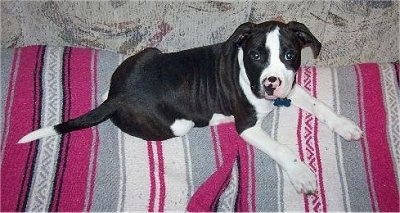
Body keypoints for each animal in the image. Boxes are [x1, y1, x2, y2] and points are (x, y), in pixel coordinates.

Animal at [18, 21, 362, 195]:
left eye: (290, 55)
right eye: (255, 55)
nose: (270, 83)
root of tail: (118, 96)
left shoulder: (289, 87)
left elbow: (318, 103)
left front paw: (344, 125)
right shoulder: (247, 126)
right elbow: (281, 148)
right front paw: (301, 174)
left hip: (150, 52)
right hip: (179, 124)